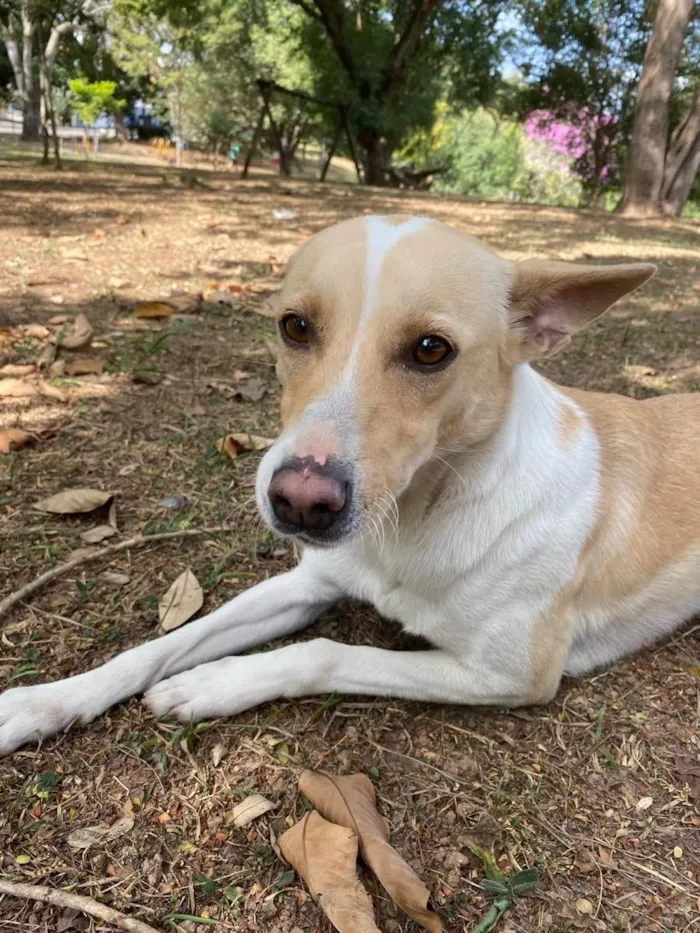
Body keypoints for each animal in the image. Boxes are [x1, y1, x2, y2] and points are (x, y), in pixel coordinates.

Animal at [1, 215, 700, 752]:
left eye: (431, 349)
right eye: (294, 326)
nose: (300, 502)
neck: (413, 521)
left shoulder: (512, 673)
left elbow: (320, 652)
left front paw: (215, 683)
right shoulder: (308, 583)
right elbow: (160, 645)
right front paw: (44, 702)